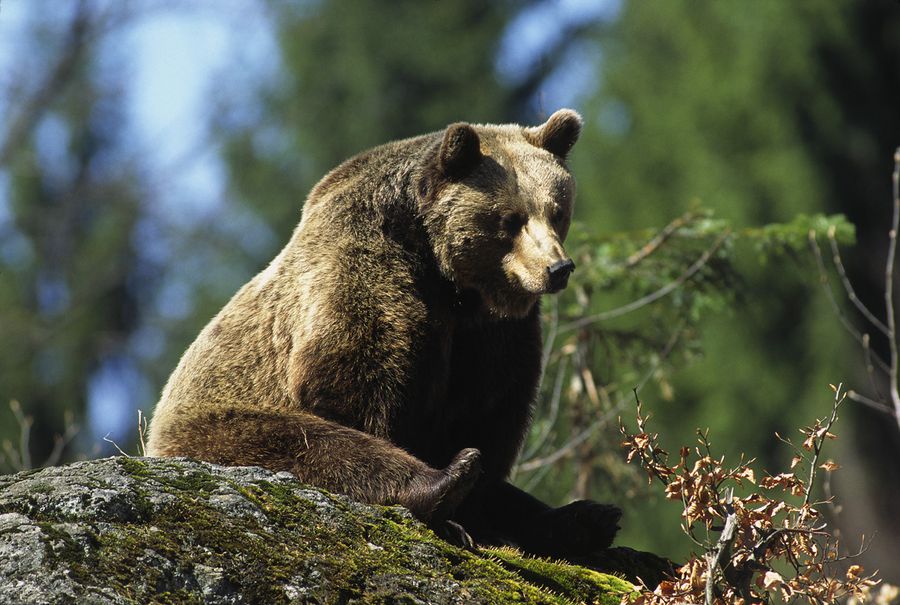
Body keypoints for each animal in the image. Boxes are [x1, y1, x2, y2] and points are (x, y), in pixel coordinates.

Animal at [149, 109, 624, 556]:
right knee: (299, 441)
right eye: (510, 218)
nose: (557, 268)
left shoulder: (495, 331)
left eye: (557, 211)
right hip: (210, 422)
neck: (447, 276)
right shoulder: (368, 265)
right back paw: (447, 480)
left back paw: (587, 517)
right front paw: (456, 503)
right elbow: (359, 381)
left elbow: (489, 405)